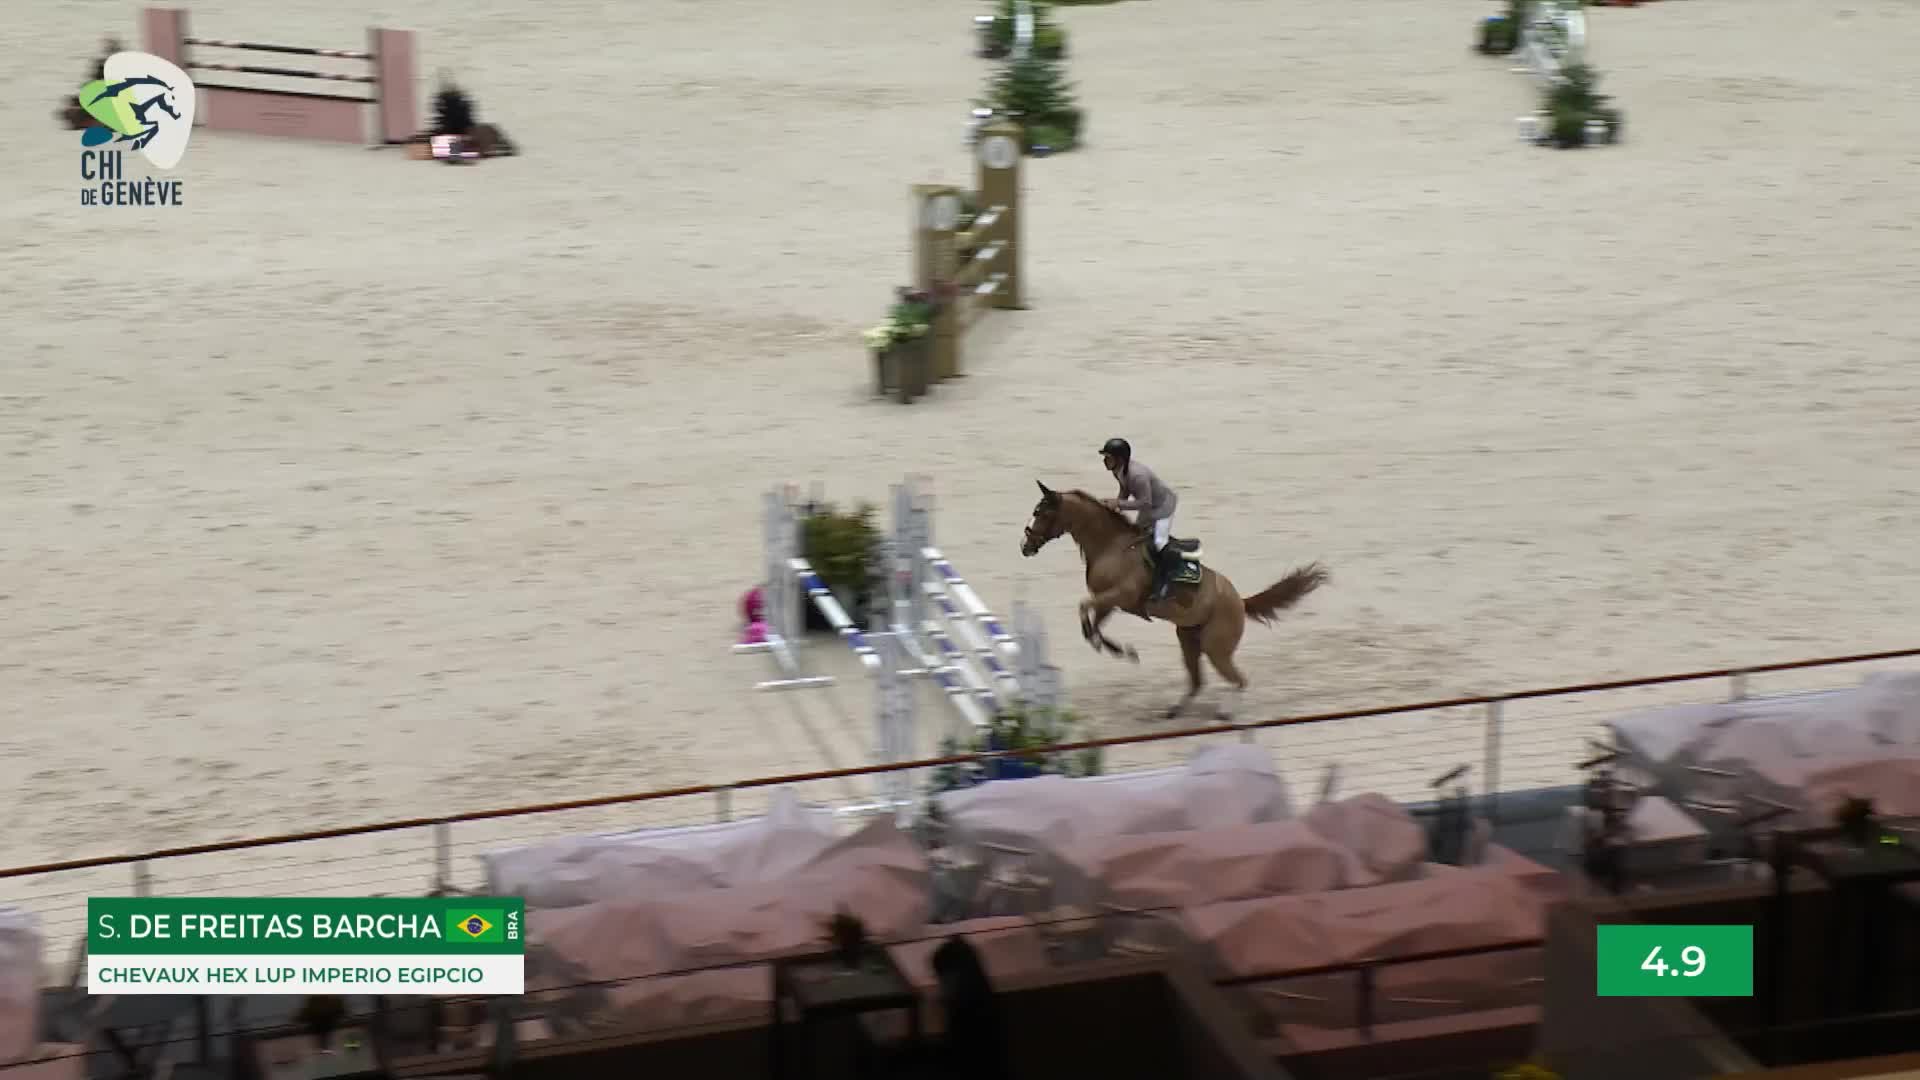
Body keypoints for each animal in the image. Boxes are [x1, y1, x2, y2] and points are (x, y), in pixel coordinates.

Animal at [1019, 481, 1328, 720]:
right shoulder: (1111, 602)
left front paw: (1112, 647)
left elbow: (1084, 607)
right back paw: (1174, 710)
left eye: (1041, 513)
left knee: (1238, 680)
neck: (1112, 546)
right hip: (1188, 639)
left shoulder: (1120, 596)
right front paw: (1118, 649)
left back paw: (1226, 712)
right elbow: (1093, 620)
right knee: (1197, 681)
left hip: (1216, 648)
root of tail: (1240, 601)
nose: (1025, 546)